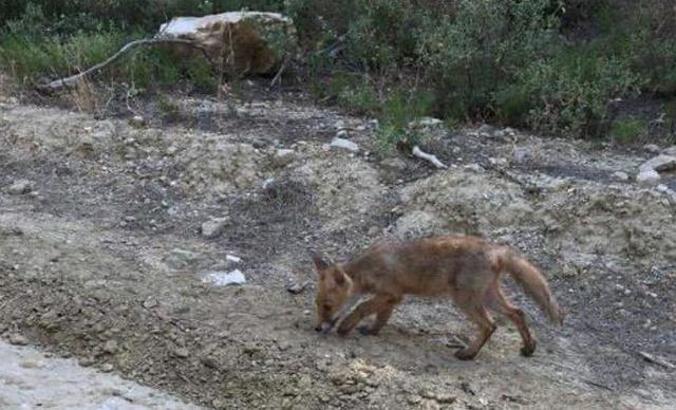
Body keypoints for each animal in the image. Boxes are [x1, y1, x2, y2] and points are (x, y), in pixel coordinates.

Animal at [312, 235, 564, 360]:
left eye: (328, 305)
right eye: (316, 304)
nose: (316, 328)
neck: (369, 267)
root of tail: (496, 250)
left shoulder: (390, 293)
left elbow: (361, 307)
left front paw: (345, 327)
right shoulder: (393, 298)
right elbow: (381, 317)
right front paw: (372, 331)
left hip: (465, 300)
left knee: (490, 325)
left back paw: (468, 354)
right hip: (487, 296)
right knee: (517, 313)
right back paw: (529, 348)